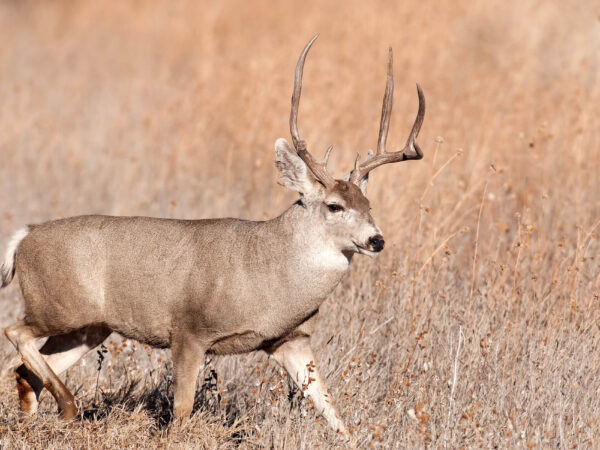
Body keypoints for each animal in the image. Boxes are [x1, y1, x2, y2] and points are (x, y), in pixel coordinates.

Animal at [1, 34, 422, 440]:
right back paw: (69, 407)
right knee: (15, 333)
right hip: (58, 307)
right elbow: (182, 411)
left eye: (369, 204)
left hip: (89, 327)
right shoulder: (189, 330)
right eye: (334, 206)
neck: (269, 271)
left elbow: (333, 413)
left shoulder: (289, 338)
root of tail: (25, 237)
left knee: (25, 371)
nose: (376, 240)